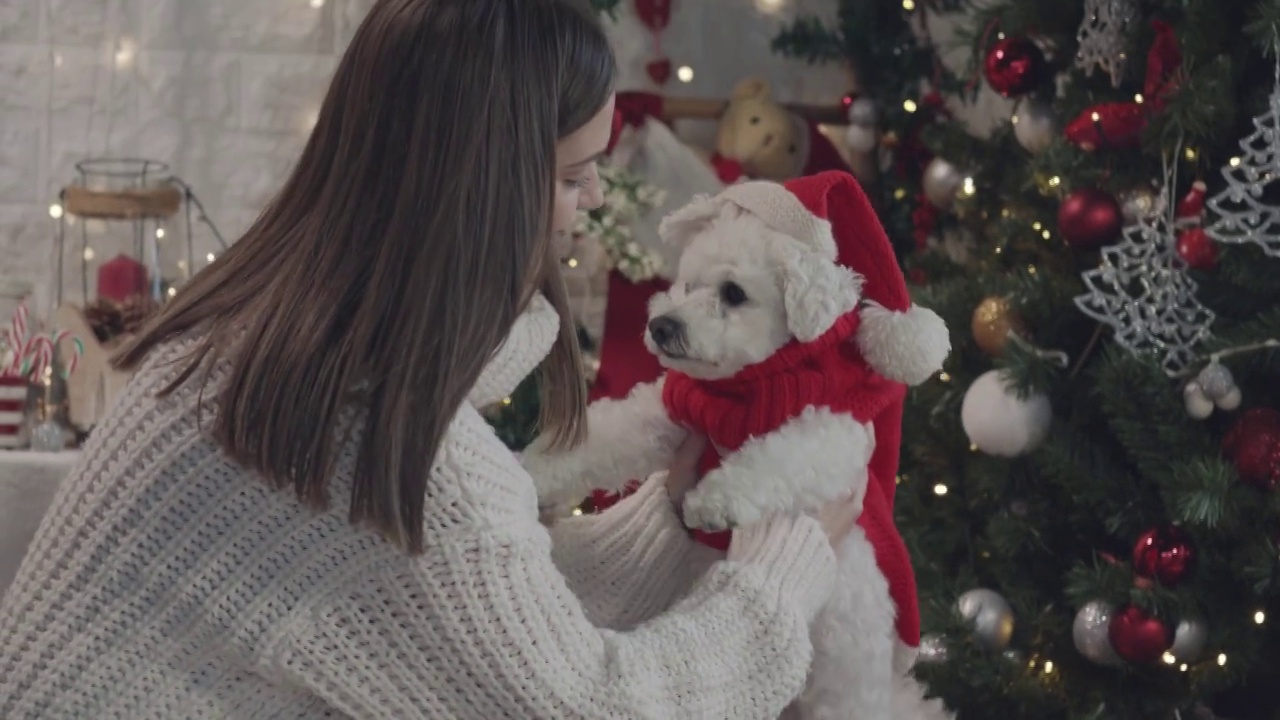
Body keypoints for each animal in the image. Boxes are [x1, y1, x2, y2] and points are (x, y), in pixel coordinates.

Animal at [519, 170, 952, 712]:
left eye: (734, 293)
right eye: (687, 283)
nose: (661, 326)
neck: (748, 389)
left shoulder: (834, 434)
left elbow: (777, 458)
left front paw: (716, 500)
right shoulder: (668, 413)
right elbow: (602, 439)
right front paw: (532, 469)